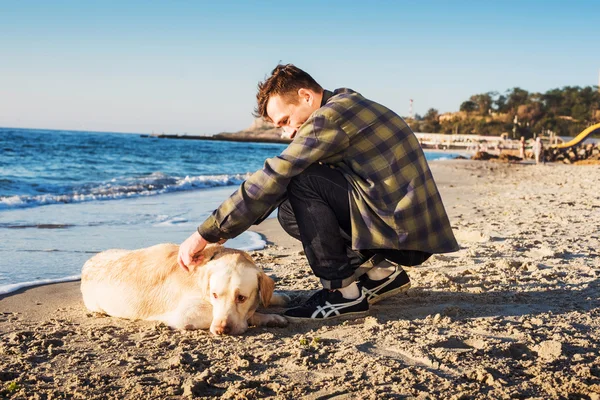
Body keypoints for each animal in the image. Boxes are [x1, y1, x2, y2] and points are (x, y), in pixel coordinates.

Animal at [81, 244, 290, 334]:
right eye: (214, 295)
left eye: (241, 298)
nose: (221, 330)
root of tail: (86, 263)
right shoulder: (184, 315)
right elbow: (249, 315)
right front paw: (270, 317)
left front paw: (278, 297)